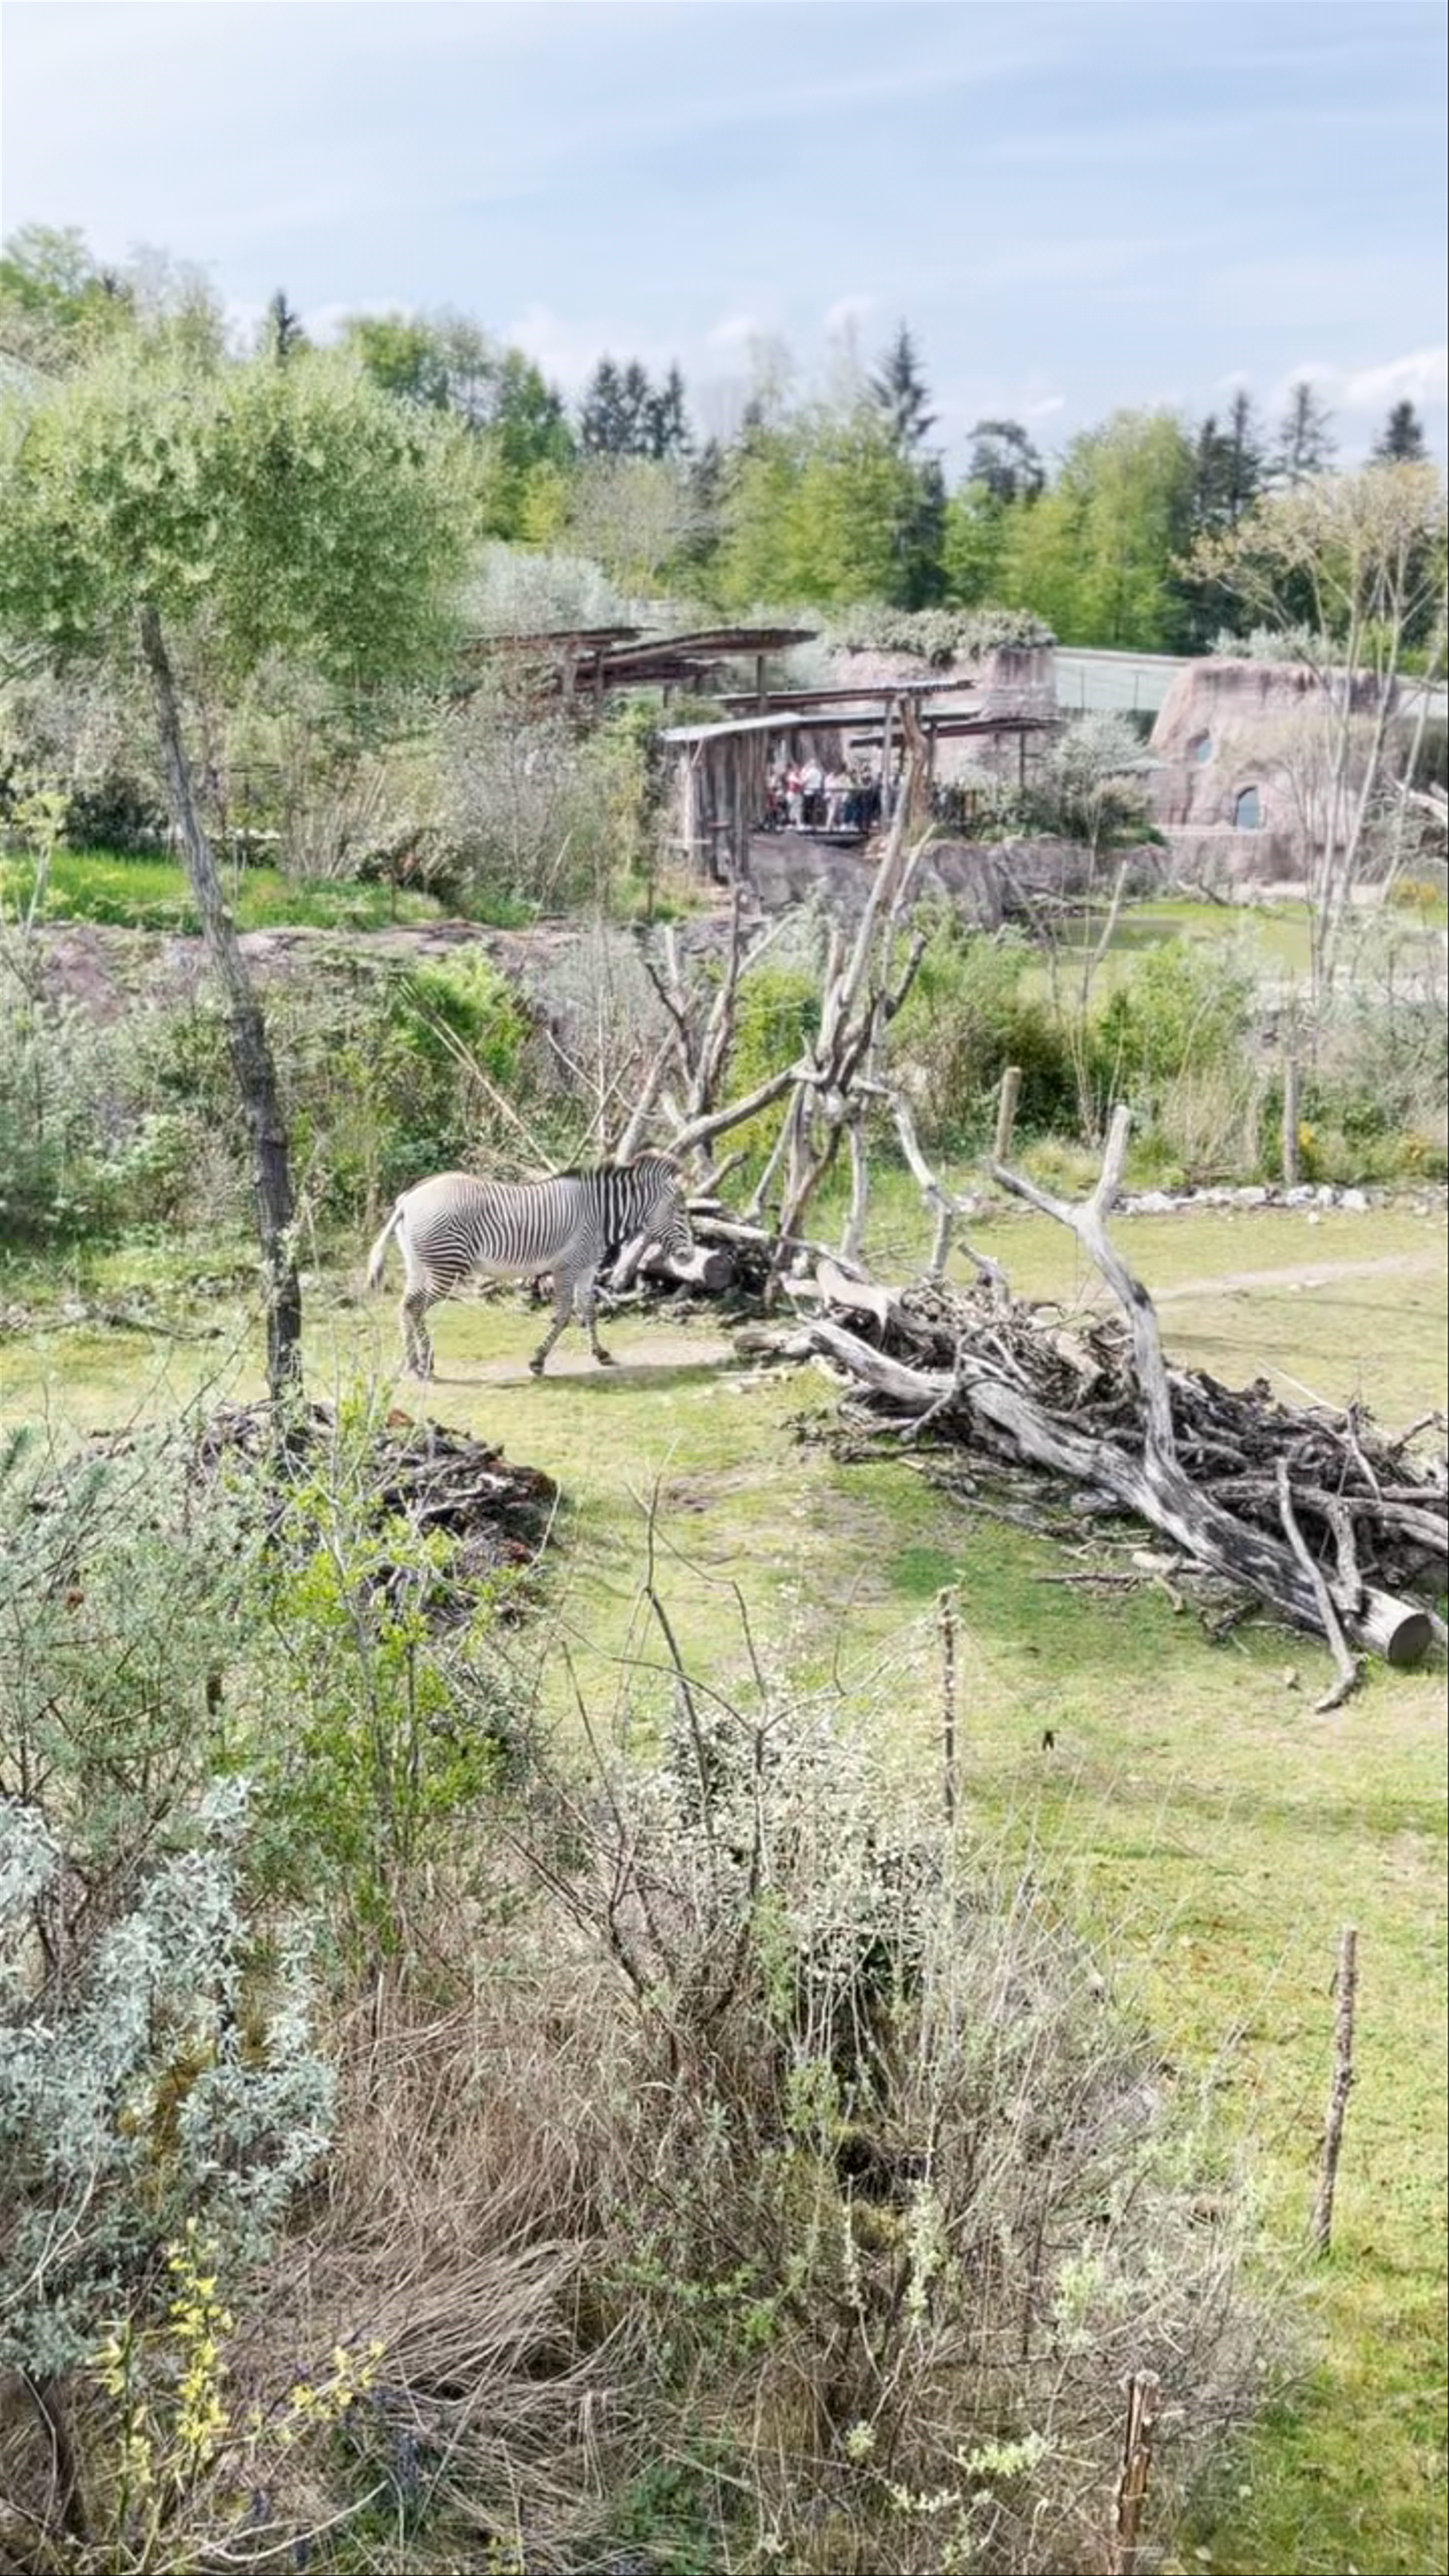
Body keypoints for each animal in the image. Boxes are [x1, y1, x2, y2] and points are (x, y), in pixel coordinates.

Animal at [365, 1153, 695, 1379]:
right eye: (680, 1212)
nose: (691, 1257)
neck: (599, 1215)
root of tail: (409, 1198)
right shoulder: (567, 1267)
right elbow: (563, 1315)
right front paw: (538, 1361)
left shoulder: (587, 1268)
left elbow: (589, 1311)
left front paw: (601, 1353)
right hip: (447, 1267)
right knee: (415, 1306)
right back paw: (425, 1363)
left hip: (420, 1264)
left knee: (405, 1305)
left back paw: (414, 1362)